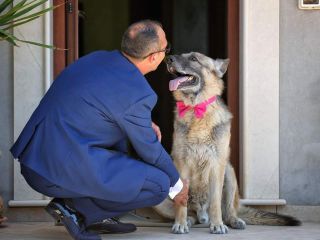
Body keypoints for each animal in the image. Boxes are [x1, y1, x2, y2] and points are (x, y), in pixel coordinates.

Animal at [154, 51, 302, 233]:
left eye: (194, 58)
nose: (168, 59)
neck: (198, 110)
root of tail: (202, 214)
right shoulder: (182, 164)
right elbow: (181, 203)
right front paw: (180, 223)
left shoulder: (217, 164)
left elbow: (216, 203)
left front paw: (217, 225)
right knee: (192, 214)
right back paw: (189, 220)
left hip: (230, 174)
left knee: (228, 211)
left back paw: (232, 220)